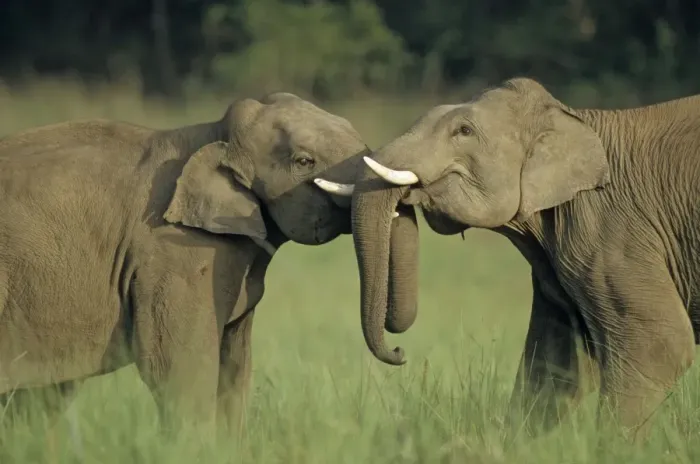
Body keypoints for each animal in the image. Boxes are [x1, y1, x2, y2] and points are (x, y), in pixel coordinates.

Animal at [316, 77, 700, 439]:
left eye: (464, 131)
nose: (399, 352)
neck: (574, 119)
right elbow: (555, 362)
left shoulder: (613, 230)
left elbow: (658, 344)